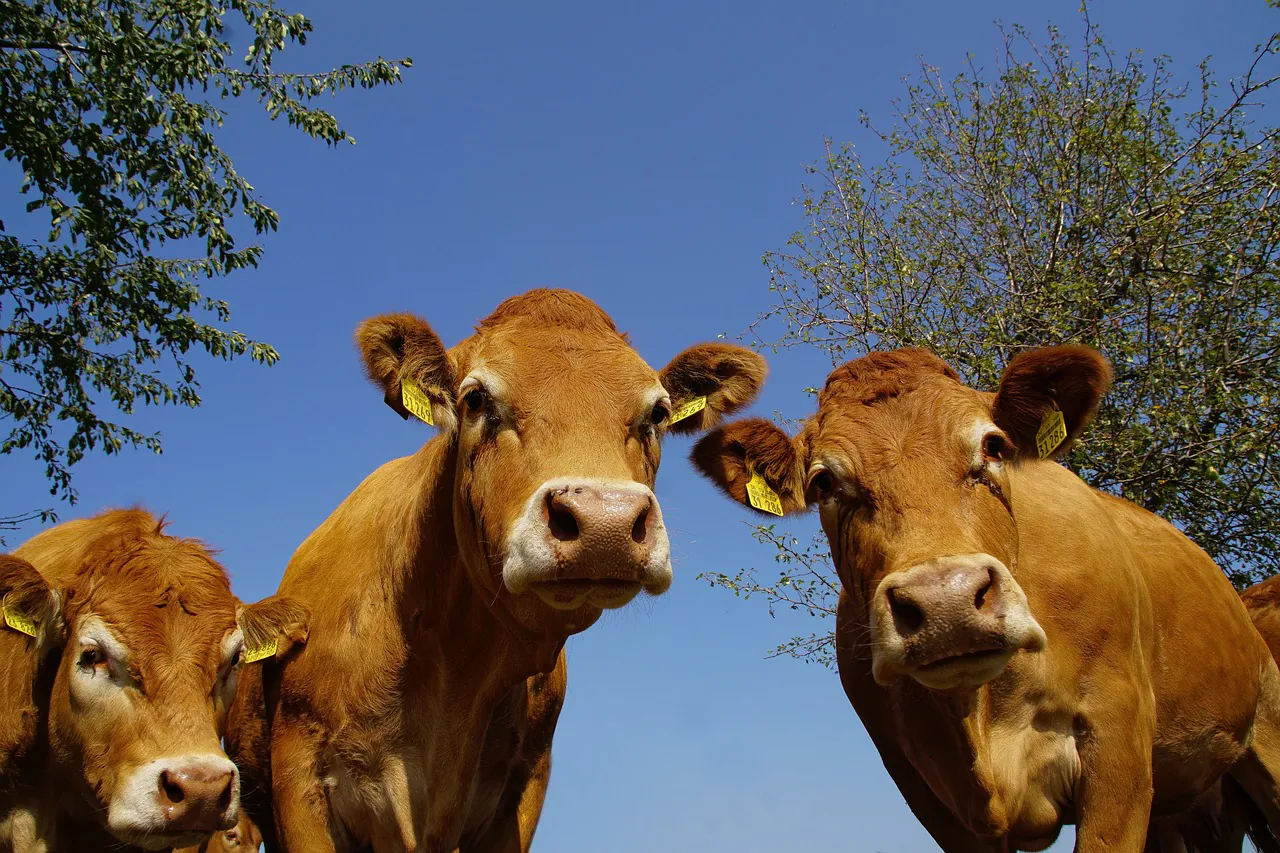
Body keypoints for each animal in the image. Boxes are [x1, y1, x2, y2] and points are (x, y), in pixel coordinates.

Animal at [696, 348, 1280, 850]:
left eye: (993, 446)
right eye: (823, 482)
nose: (946, 603)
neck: (986, 714)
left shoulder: (1120, 751)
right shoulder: (932, 797)